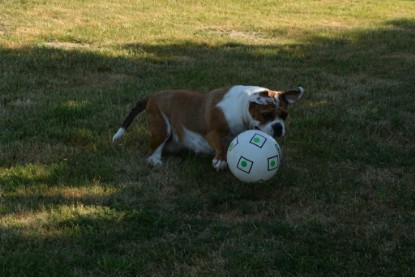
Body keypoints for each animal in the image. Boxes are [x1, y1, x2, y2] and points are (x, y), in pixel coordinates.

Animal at [112, 85, 304, 169]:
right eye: (266, 115)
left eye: (284, 115)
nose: (278, 128)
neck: (242, 106)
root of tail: (152, 96)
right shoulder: (212, 131)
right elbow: (220, 145)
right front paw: (220, 160)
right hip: (161, 127)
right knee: (153, 150)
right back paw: (155, 161)